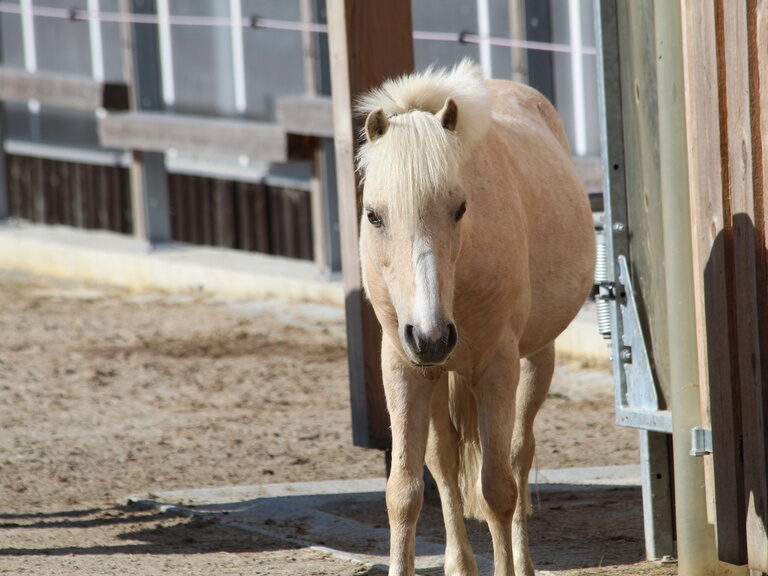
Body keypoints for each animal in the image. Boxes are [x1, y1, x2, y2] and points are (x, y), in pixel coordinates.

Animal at [356, 60, 596, 576]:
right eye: (373, 215)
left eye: (460, 208)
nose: (430, 337)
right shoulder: (403, 368)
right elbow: (403, 492)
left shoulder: (496, 368)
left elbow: (498, 490)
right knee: (443, 461)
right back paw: (459, 563)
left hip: (535, 361)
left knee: (519, 457)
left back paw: (522, 561)